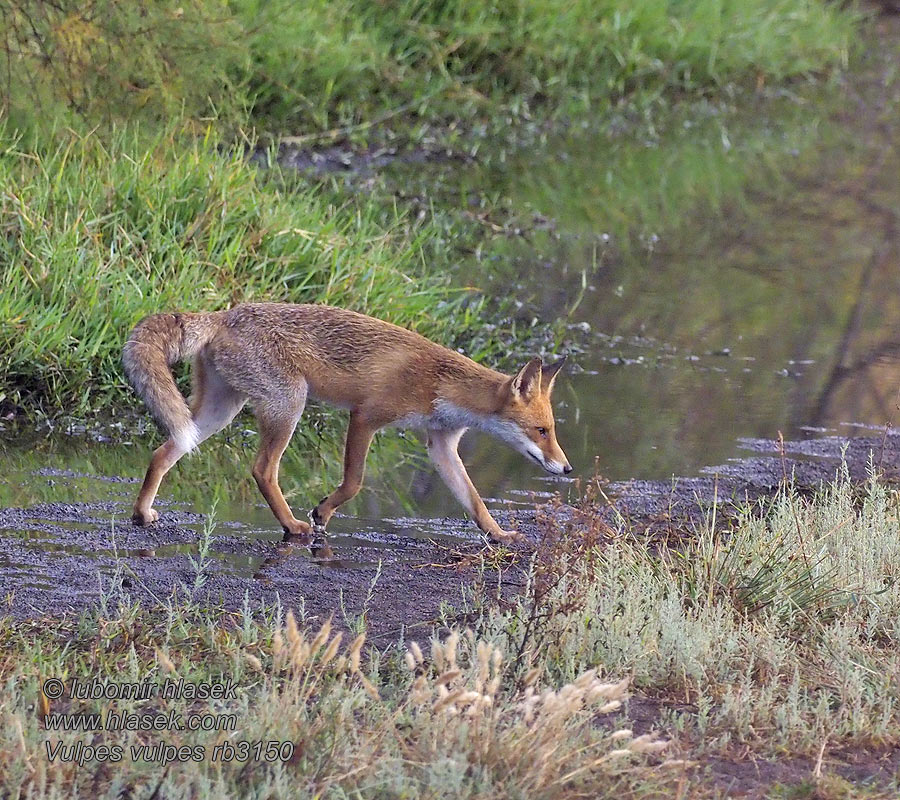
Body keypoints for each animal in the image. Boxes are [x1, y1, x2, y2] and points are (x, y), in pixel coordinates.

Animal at [123, 302, 568, 544]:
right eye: (541, 431)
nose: (566, 468)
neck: (440, 384)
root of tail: (225, 313)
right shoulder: (366, 416)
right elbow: (353, 482)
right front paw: (323, 512)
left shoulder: (441, 444)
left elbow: (475, 501)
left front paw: (499, 535)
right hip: (289, 404)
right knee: (263, 470)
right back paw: (293, 525)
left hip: (219, 410)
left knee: (164, 450)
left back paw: (142, 514)